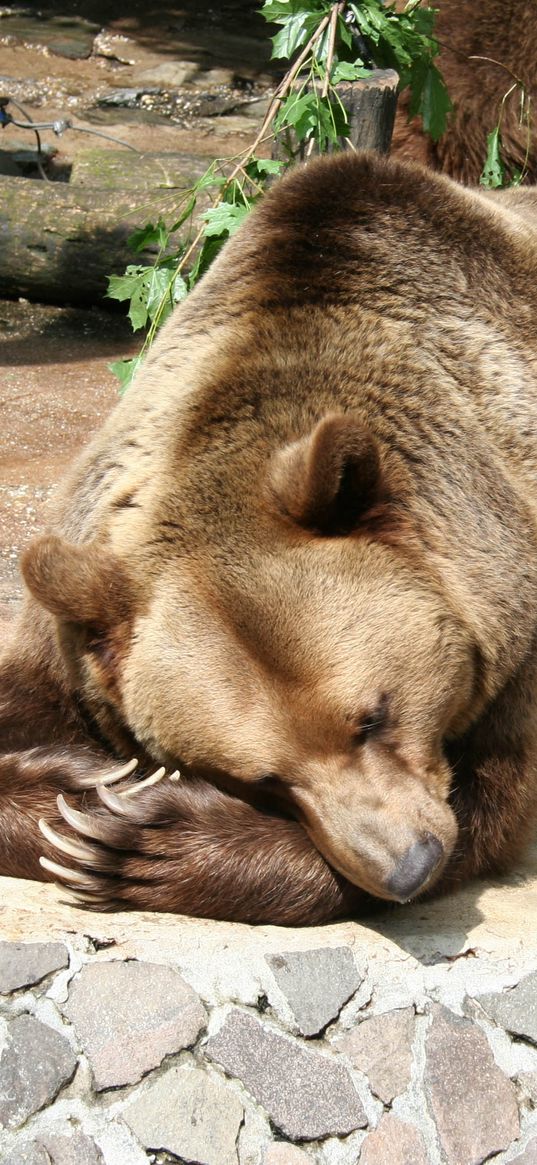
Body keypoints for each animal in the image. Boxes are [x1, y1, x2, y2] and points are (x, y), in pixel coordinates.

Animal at [3, 150, 535, 922]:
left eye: (372, 715)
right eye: (264, 777)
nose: (406, 865)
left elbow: (494, 798)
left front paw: (134, 838)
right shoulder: (76, 616)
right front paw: (81, 795)